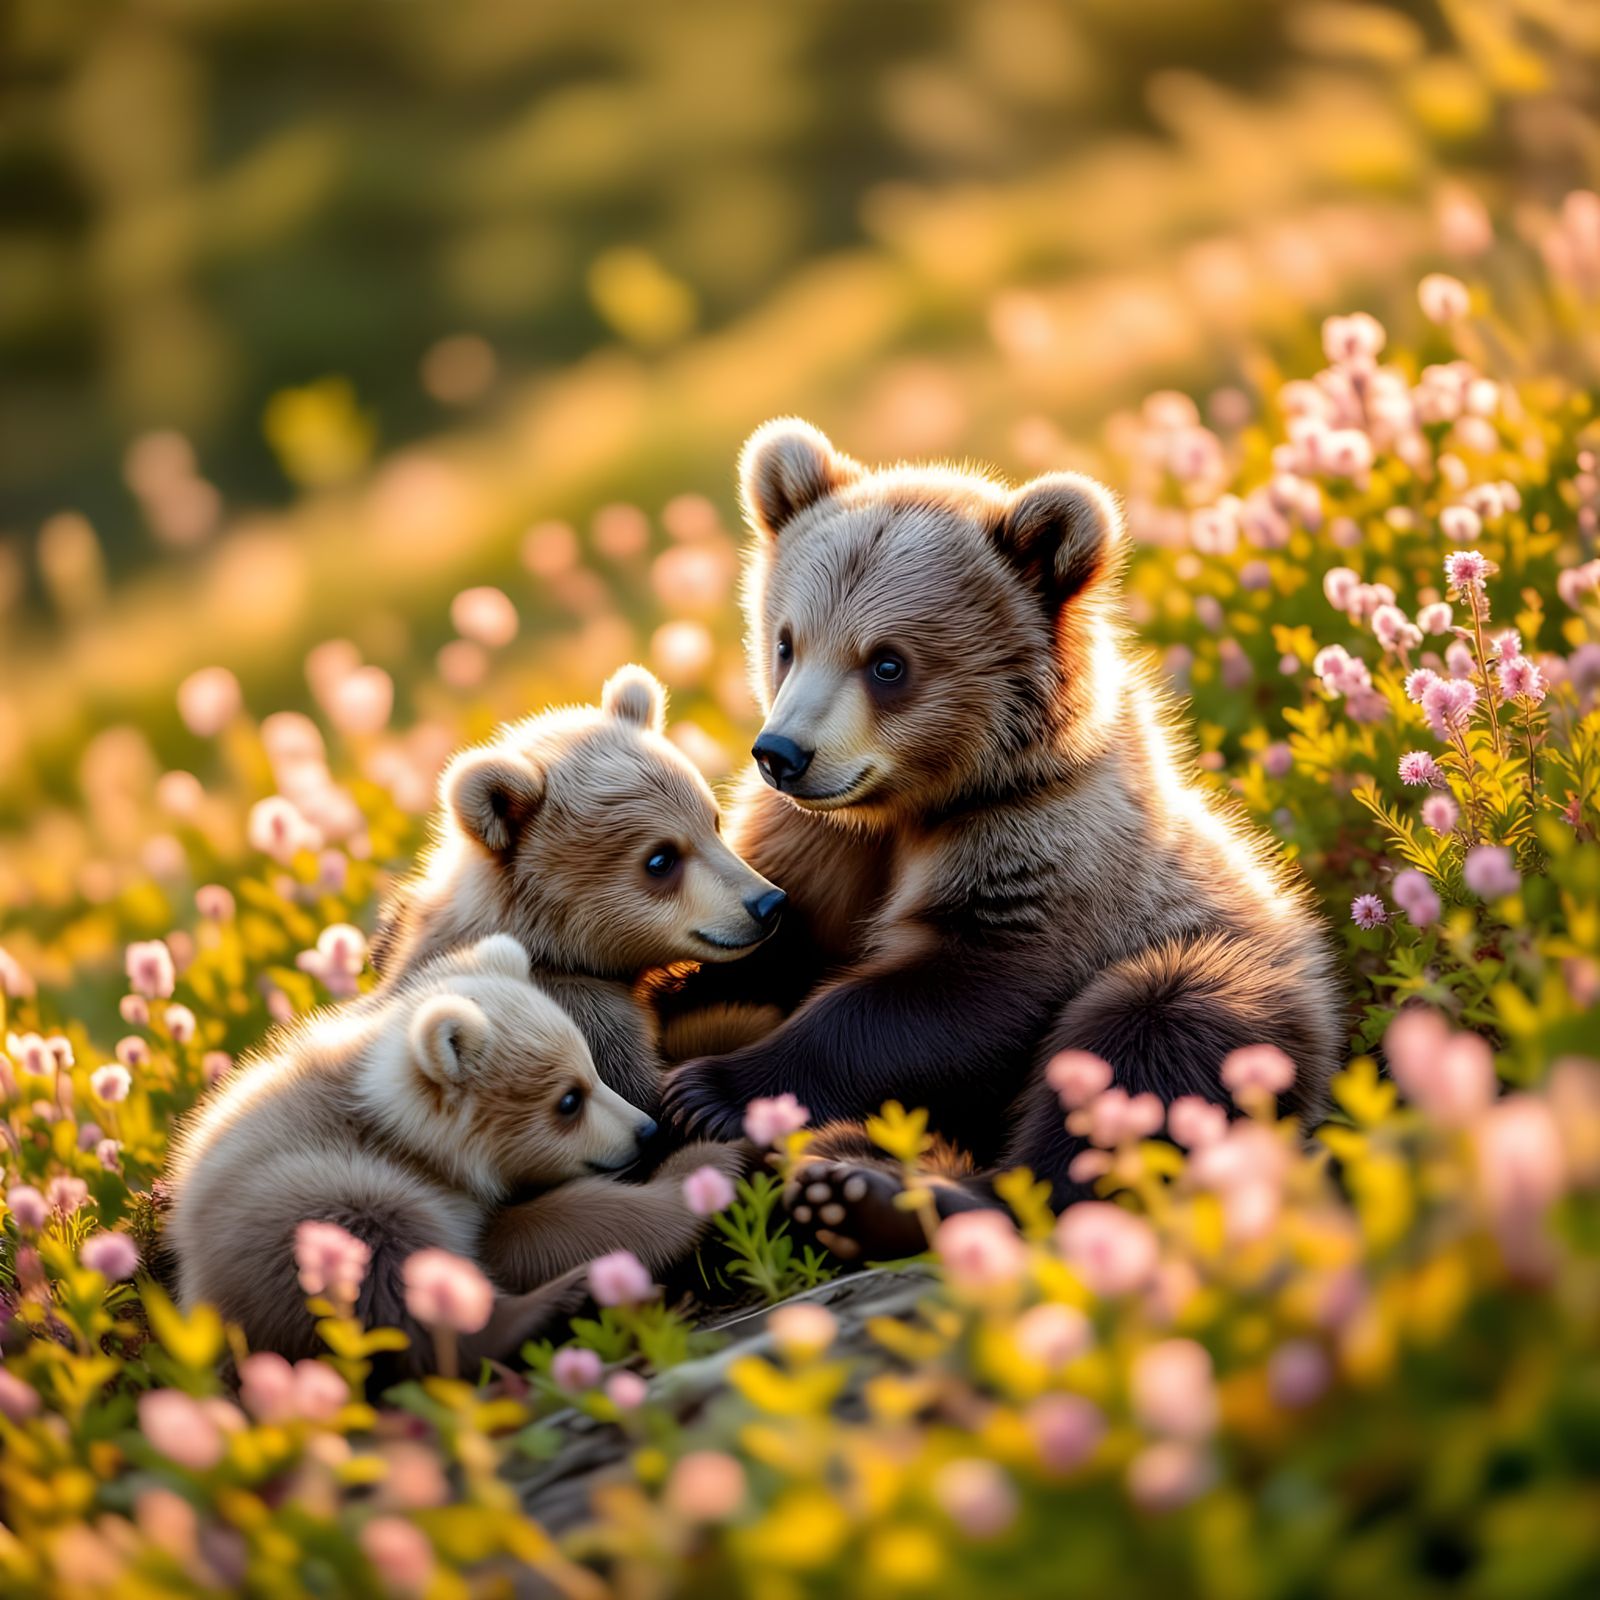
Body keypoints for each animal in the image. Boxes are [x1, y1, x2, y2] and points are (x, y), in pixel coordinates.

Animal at [166, 935, 740, 1370]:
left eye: (593, 1069)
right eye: (568, 1100)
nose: (646, 1130)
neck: (394, 1125)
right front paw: (707, 1165)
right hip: (308, 1205)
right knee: (387, 1273)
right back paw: (558, 1302)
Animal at [659, 419, 1342, 1249]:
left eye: (888, 663)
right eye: (787, 640)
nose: (782, 754)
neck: (910, 807)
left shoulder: (1041, 845)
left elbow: (953, 997)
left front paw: (710, 1089)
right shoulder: (818, 847)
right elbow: (758, 935)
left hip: (1245, 984)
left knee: (1151, 1046)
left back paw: (879, 1195)